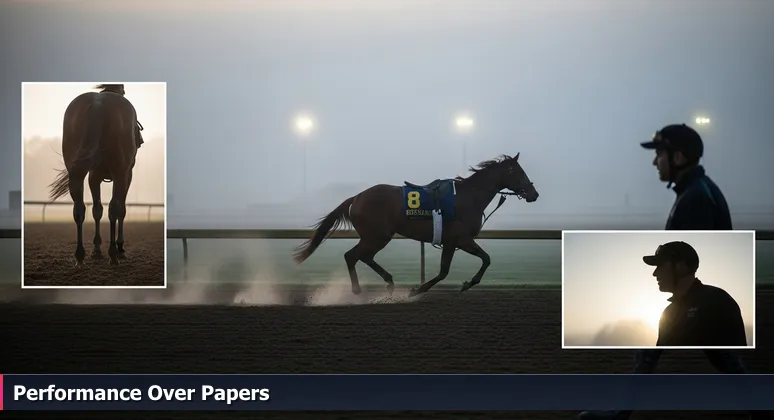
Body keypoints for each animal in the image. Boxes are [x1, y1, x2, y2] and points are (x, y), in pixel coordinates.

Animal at [48, 84, 142, 266]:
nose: (140, 140)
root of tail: (97, 105)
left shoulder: (94, 176)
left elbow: (97, 210)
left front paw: (97, 250)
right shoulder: (126, 174)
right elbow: (121, 210)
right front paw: (119, 249)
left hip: (76, 173)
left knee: (79, 209)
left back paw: (80, 256)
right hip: (120, 173)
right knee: (114, 208)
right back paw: (113, 254)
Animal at [292, 153, 540, 296]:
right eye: (517, 171)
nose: (533, 194)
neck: (468, 197)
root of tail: (356, 197)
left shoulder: (451, 242)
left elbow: (446, 270)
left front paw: (421, 288)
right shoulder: (461, 239)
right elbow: (483, 260)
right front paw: (464, 283)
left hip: (375, 236)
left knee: (361, 256)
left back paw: (388, 282)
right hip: (378, 236)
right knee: (353, 256)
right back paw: (359, 289)